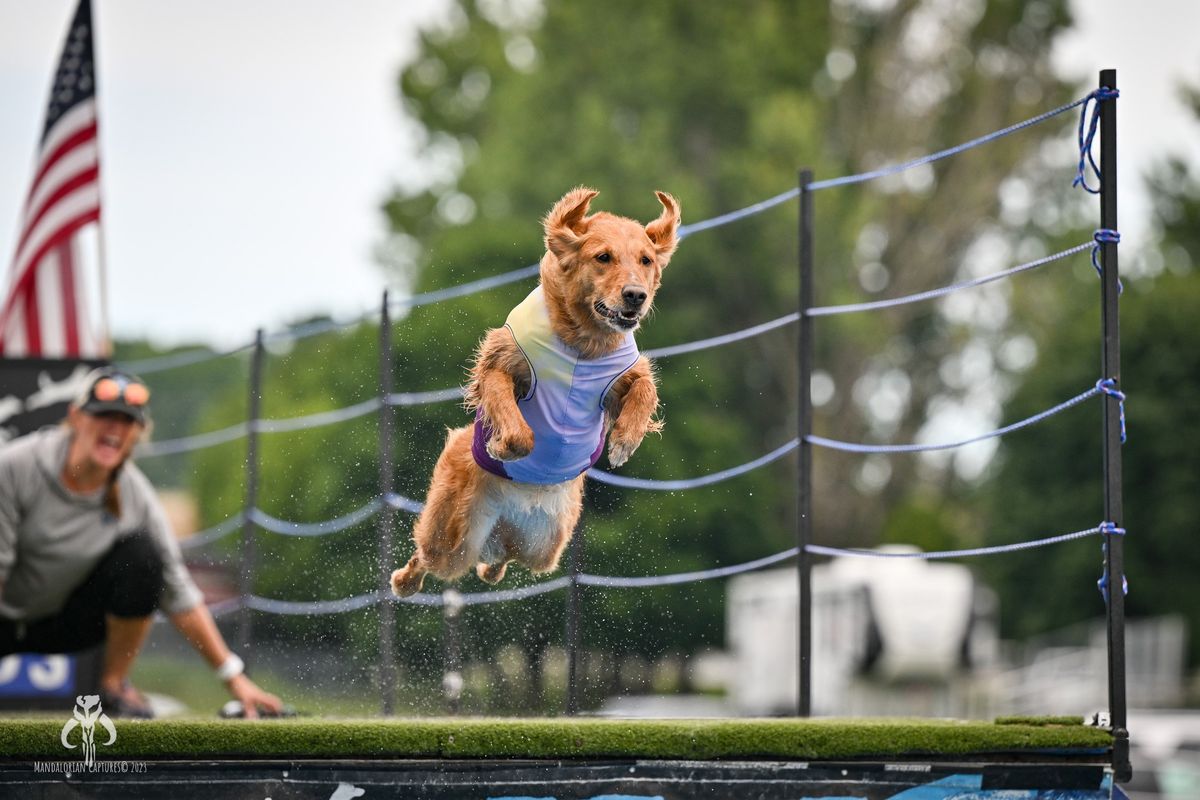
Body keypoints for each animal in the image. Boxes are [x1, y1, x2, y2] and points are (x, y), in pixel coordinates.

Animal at [391, 188, 681, 597]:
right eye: (603, 257)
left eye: (646, 260)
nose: (636, 295)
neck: (582, 344)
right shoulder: (500, 365)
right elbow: (520, 432)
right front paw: (501, 447)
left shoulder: (622, 374)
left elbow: (646, 388)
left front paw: (625, 440)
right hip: (453, 535)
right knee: (432, 555)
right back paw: (404, 580)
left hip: (546, 542)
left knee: (505, 557)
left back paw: (491, 568)